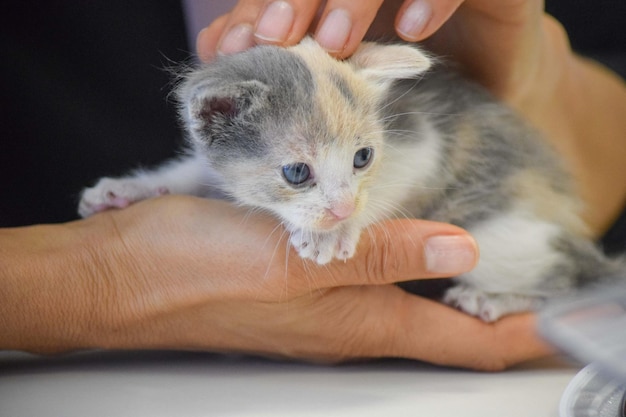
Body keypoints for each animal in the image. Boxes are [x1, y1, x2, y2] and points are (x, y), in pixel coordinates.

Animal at [78, 37, 620, 320]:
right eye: (297, 172)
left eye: (363, 158)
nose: (340, 209)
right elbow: (192, 169)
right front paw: (124, 190)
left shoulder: (419, 140)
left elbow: (393, 182)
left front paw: (336, 232)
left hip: (494, 234)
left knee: (579, 278)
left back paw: (495, 298)